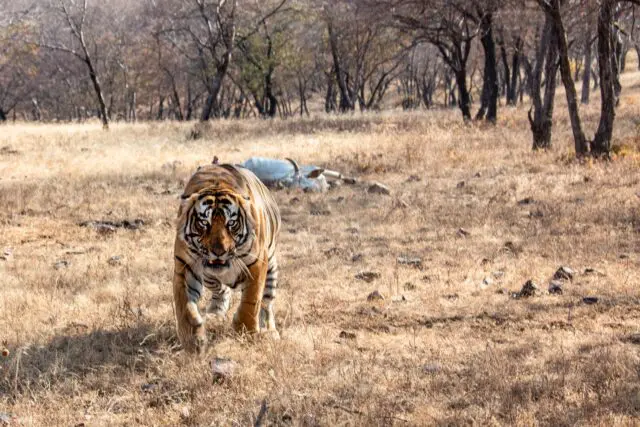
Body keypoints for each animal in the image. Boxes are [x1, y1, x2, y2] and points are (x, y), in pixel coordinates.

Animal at [172, 162, 280, 352]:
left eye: (231, 223)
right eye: (204, 223)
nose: (218, 251)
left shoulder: (257, 264)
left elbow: (251, 301)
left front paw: (245, 332)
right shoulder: (185, 266)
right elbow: (184, 305)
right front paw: (192, 339)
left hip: (272, 267)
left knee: (267, 302)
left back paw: (270, 331)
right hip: (209, 276)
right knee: (221, 290)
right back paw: (214, 314)